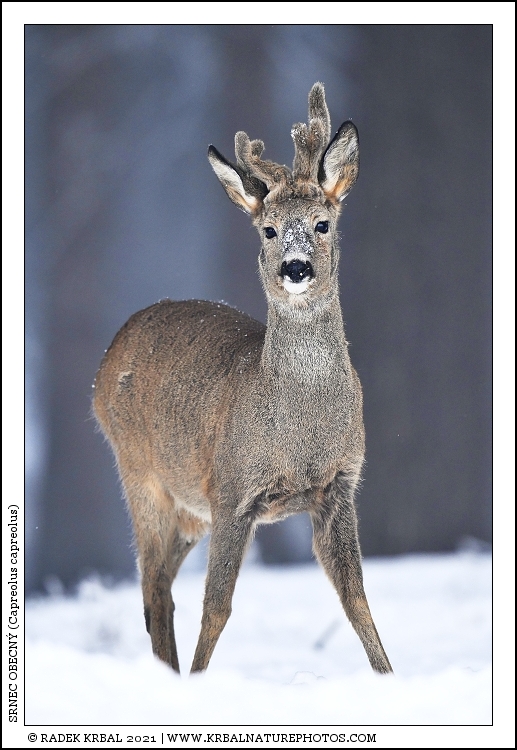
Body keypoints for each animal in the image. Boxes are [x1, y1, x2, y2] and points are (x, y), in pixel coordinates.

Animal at [93, 83, 392, 675]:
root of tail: (103, 368)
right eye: (269, 229)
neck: (299, 435)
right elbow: (217, 606)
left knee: (160, 582)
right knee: (154, 586)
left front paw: (390, 678)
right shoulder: (232, 488)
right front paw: (200, 680)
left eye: (323, 223)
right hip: (139, 472)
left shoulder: (340, 486)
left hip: (189, 507)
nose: (295, 267)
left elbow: (357, 599)